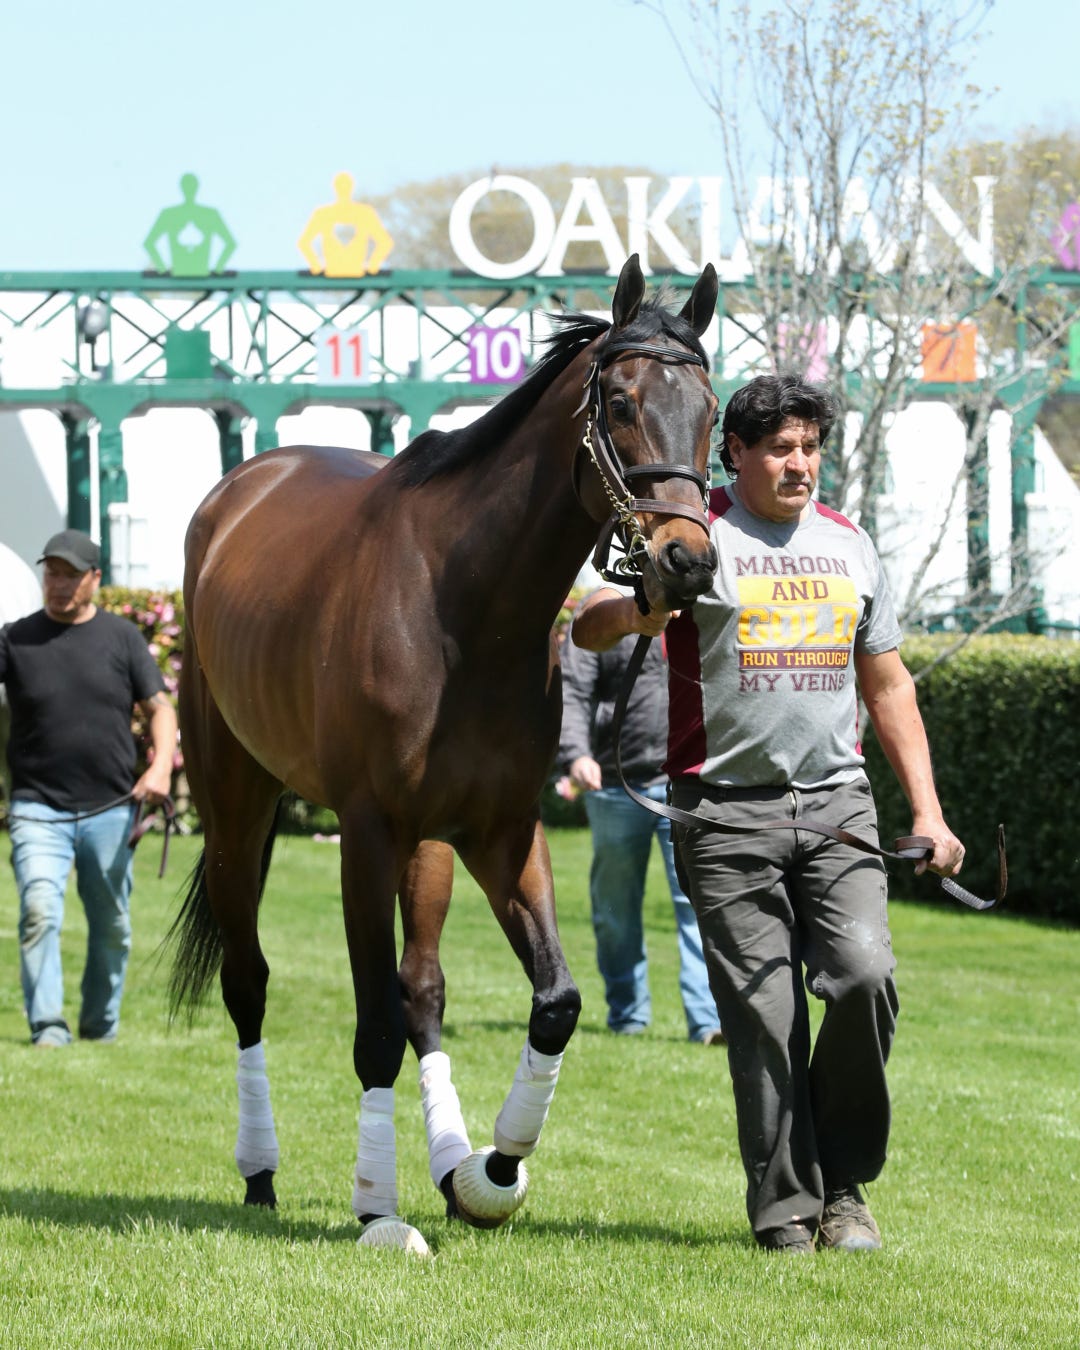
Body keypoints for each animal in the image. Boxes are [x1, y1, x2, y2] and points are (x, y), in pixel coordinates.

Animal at [167, 254, 720, 1252]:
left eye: (712, 410)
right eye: (620, 402)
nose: (685, 562)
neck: (463, 604)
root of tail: (238, 492)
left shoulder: (502, 830)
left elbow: (554, 1002)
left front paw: (492, 1170)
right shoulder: (366, 833)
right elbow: (374, 1023)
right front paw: (379, 1209)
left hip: (429, 842)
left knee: (423, 986)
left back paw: (448, 1160)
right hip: (236, 805)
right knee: (249, 981)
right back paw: (261, 1170)